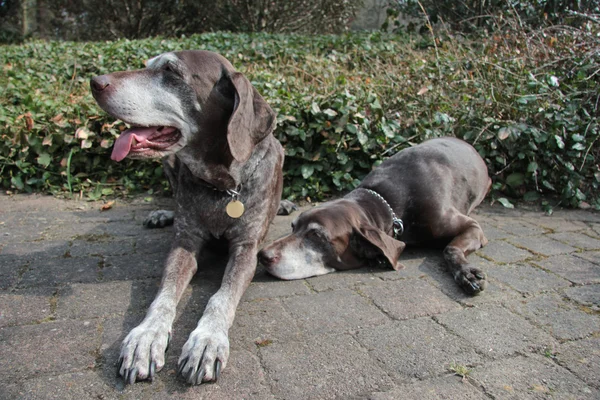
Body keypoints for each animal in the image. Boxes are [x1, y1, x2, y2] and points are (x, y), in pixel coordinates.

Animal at [91, 50, 284, 384]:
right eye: (147, 65)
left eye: (171, 71)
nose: (95, 81)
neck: (222, 187)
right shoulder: (185, 242)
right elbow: (164, 295)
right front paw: (146, 337)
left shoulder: (246, 249)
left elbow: (220, 297)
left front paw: (207, 340)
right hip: (168, 162)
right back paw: (162, 213)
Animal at [258, 138, 492, 294]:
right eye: (293, 227)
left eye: (316, 236)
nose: (262, 255)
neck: (387, 204)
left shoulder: (472, 226)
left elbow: (450, 248)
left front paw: (467, 272)